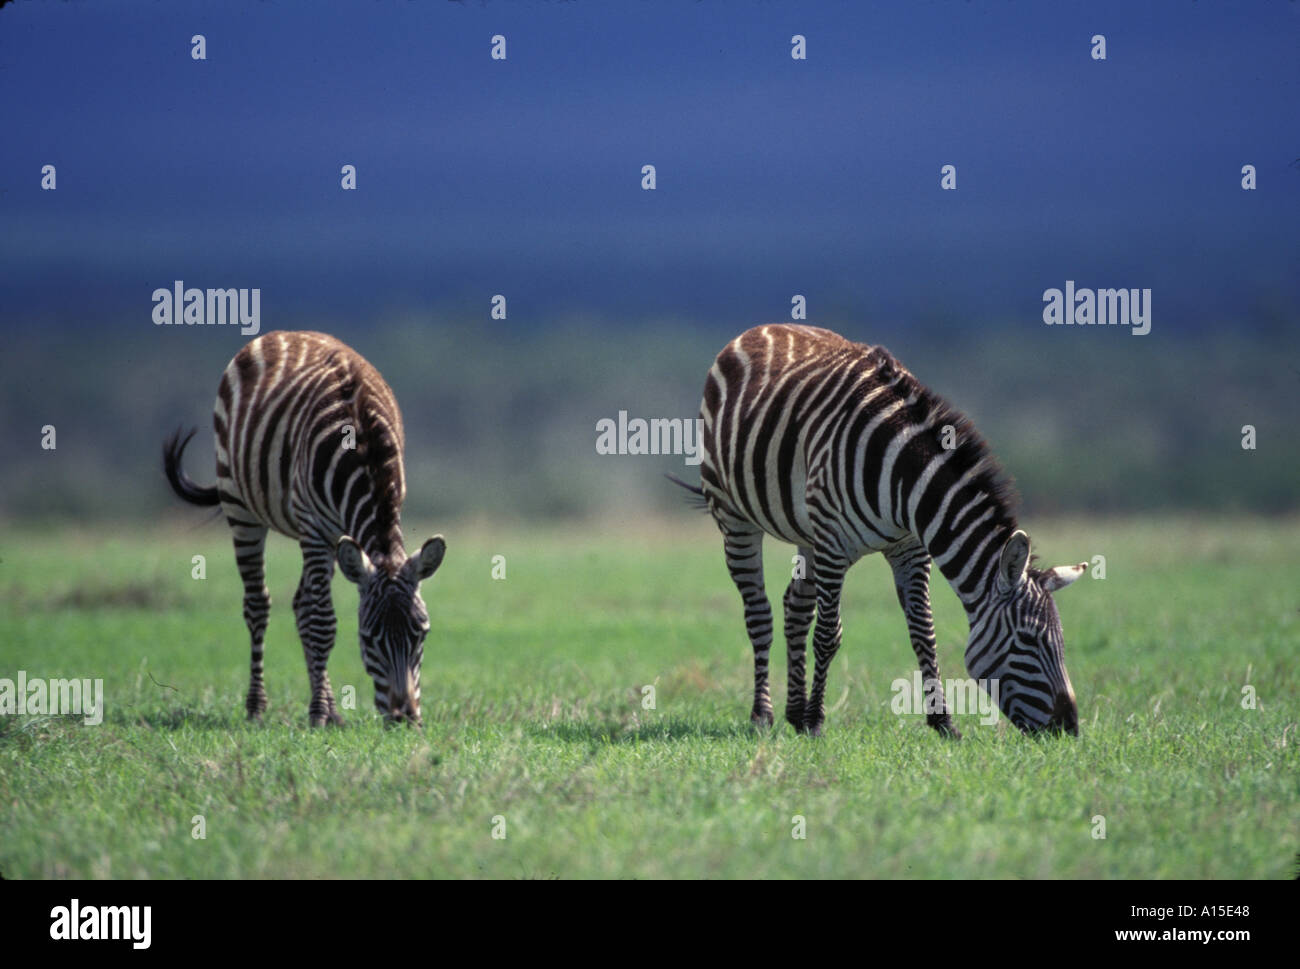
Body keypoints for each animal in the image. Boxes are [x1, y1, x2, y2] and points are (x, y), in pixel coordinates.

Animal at [161, 329, 447, 723]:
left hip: (330, 539)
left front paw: (325, 711)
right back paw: (257, 706)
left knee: (300, 604)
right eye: (368, 638)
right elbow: (323, 623)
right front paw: (317, 714)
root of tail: (284, 333)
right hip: (240, 505)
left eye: (421, 634)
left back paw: (329, 709)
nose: (404, 717)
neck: (364, 447)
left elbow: (315, 616)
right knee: (259, 604)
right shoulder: (313, 528)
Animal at [670, 321, 1086, 738]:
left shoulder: (909, 549)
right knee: (759, 613)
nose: (1069, 727)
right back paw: (764, 715)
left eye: (1062, 642)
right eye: (1028, 640)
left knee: (795, 607)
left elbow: (924, 632)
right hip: (734, 515)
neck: (904, 477)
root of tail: (762, 328)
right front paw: (818, 721)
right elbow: (828, 635)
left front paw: (943, 722)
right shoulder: (834, 545)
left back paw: (794, 712)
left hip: (808, 534)